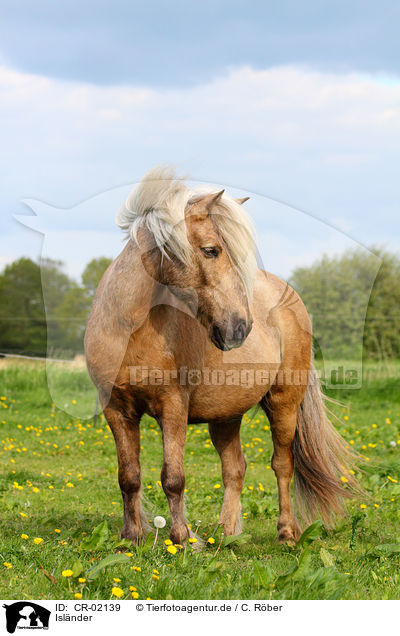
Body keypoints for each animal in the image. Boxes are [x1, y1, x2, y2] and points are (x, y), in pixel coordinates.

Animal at [84, 168, 356, 548]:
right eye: (211, 250)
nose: (240, 327)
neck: (129, 330)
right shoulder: (117, 410)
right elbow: (129, 476)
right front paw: (130, 538)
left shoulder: (173, 407)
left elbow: (173, 477)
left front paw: (182, 540)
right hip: (226, 415)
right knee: (235, 468)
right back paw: (226, 533)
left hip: (284, 403)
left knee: (282, 464)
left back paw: (286, 533)